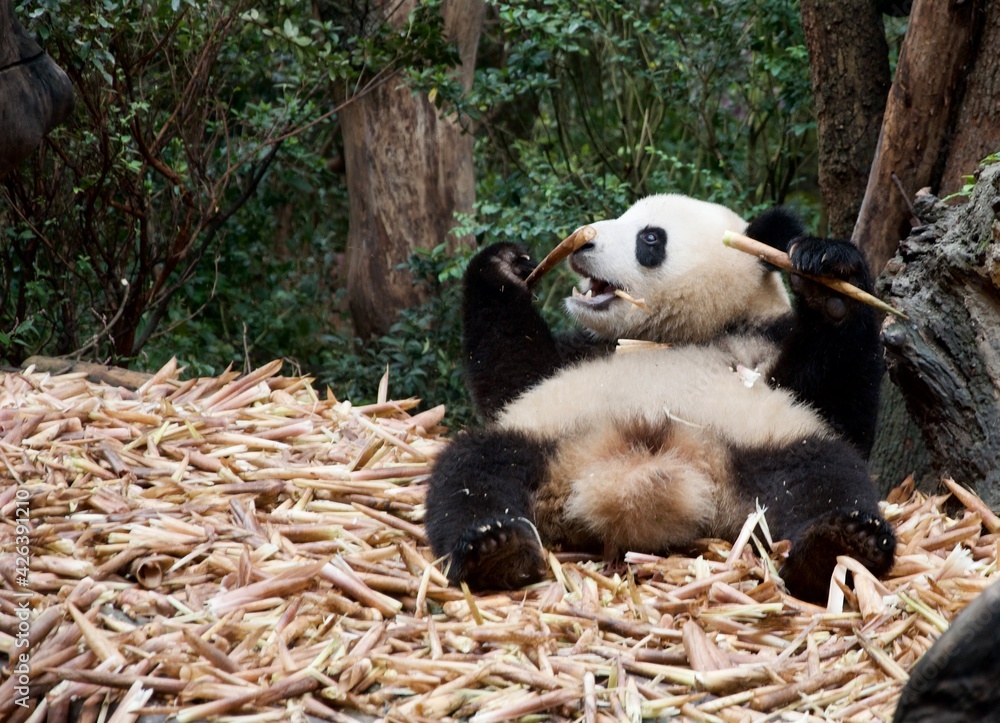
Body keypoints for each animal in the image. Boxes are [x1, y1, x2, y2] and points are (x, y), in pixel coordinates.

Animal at [425, 194, 895, 603]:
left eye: (649, 238)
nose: (585, 241)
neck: (668, 336)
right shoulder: (582, 352)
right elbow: (512, 376)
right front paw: (504, 265)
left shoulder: (763, 344)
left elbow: (840, 404)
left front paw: (830, 278)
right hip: (543, 438)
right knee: (472, 470)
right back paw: (495, 546)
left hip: (767, 444)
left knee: (825, 474)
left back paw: (841, 543)